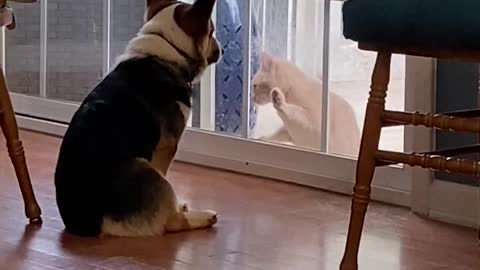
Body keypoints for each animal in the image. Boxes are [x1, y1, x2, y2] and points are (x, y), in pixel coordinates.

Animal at [54, 0, 221, 236]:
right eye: (211, 31)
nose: (221, 49)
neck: (169, 47)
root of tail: (89, 223)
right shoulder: (165, 149)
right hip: (142, 165)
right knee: (172, 222)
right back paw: (203, 216)